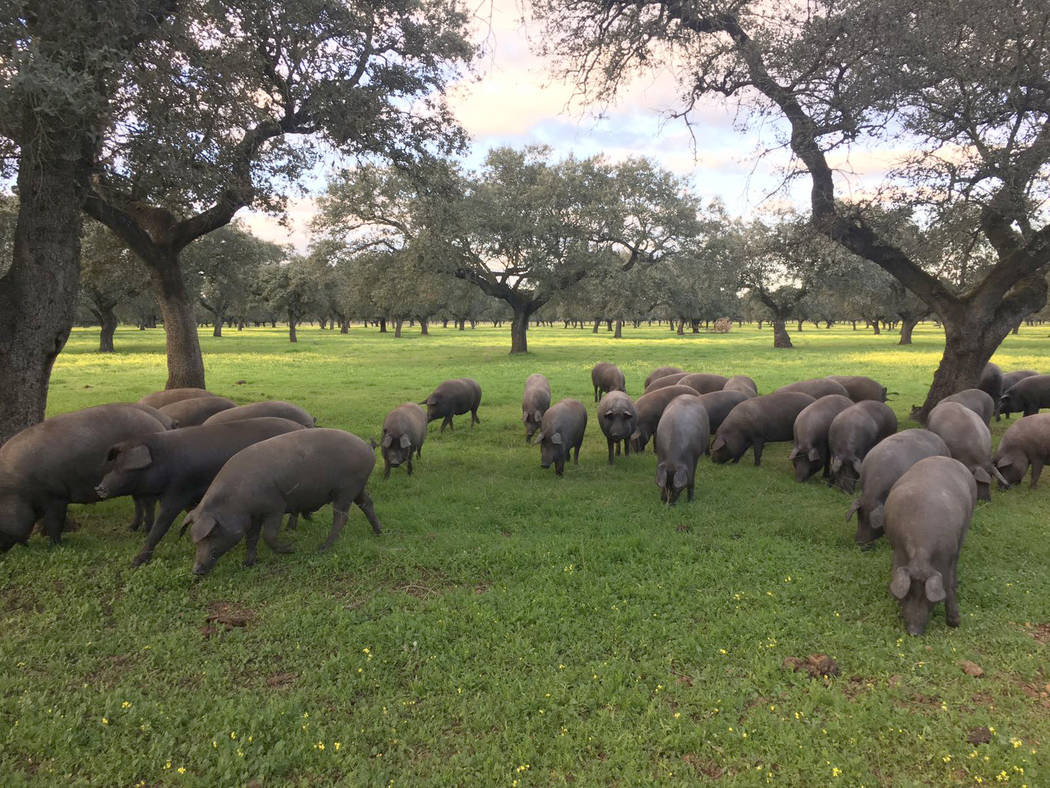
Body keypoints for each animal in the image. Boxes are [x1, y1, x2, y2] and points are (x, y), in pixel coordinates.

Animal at [0, 403, 165, 550]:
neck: (18, 490)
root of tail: (159, 424)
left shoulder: (57, 497)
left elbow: (54, 522)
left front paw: (56, 546)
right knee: (139, 504)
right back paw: (131, 529)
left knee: (149, 505)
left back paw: (145, 533)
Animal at [95, 416, 308, 563]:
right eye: (113, 465)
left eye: (124, 467)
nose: (99, 487)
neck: (165, 462)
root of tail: (301, 427)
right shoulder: (190, 498)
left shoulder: (177, 493)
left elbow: (160, 527)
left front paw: (136, 562)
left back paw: (291, 528)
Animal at [186, 428, 384, 575]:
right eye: (195, 541)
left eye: (211, 534)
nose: (196, 570)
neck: (235, 501)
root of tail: (368, 447)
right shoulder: (253, 516)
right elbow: (252, 538)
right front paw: (247, 564)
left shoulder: (275, 507)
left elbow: (268, 535)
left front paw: (291, 548)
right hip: (358, 487)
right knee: (367, 504)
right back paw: (379, 532)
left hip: (346, 489)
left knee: (341, 517)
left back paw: (322, 547)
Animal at [886, 455, 974, 634]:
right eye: (908, 594)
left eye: (929, 599)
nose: (914, 632)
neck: (921, 552)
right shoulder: (897, 549)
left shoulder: (947, 556)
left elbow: (948, 584)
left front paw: (955, 623)